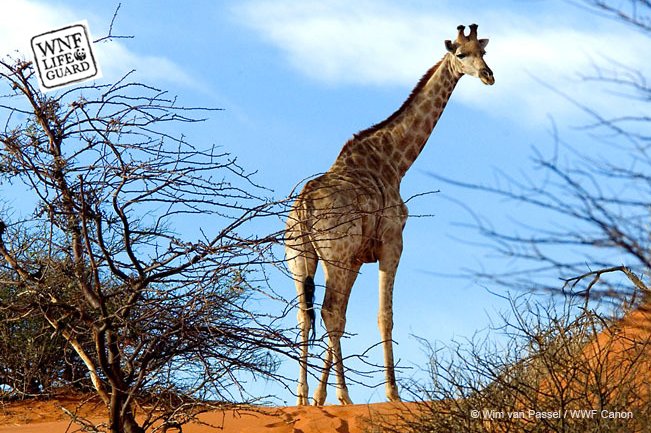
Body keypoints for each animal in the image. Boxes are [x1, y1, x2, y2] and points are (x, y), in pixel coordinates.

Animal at [285, 24, 494, 406]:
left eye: (483, 52)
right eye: (461, 54)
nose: (489, 75)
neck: (396, 161)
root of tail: (304, 205)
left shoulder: (355, 258)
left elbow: (344, 317)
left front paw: (322, 397)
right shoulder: (391, 243)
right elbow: (385, 315)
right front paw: (392, 393)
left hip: (301, 256)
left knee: (307, 315)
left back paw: (303, 398)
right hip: (332, 254)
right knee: (327, 311)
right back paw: (343, 397)